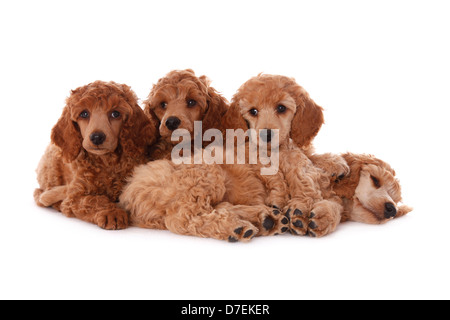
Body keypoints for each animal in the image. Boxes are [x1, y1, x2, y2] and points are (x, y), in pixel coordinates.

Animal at [33, 80, 157, 230]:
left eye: (115, 114)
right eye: (84, 114)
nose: (97, 137)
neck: (106, 161)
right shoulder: (76, 195)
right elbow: (93, 199)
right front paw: (112, 213)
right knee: (39, 193)